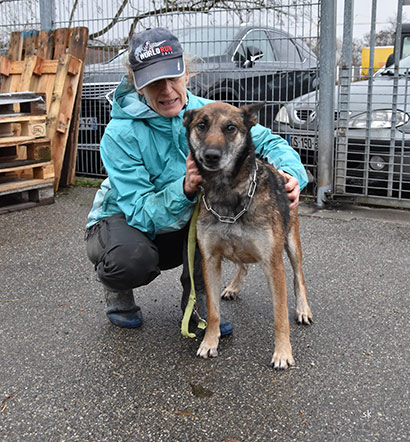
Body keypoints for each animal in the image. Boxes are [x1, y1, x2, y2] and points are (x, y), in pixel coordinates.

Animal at [183, 102, 312, 369]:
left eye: (231, 127)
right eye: (202, 125)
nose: (211, 156)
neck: (227, 192)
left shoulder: (273, 264)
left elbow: (280, 315)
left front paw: (283, 353)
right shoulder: (210, 260)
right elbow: (213, 312)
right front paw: (209, 342)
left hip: (292, 244)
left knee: (299, 277)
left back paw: (303, 309)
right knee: (243, 265)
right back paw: (233, 287)